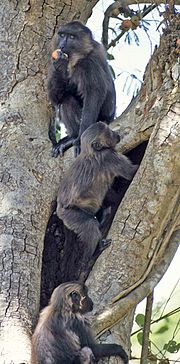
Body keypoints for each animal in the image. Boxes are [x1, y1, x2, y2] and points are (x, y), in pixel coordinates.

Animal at [47, 20, 116, 156]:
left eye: (71, 37)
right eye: (62, 35)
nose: (62, 45)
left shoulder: (89, 63)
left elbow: (93, 94)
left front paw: (80, 141)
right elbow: (55, 98)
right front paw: (60, 65)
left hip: (100, 120)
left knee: (68, 101)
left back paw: (74, 138)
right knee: (66, 99)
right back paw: (71, 137)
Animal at [56, 122, 138, 272]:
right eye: (109, 133)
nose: (116, 133)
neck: (91, 152)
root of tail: (59, 209)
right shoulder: (110, 156)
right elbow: (132, 172)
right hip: (70, 215)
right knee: (89, 225)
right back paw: (94, 252)